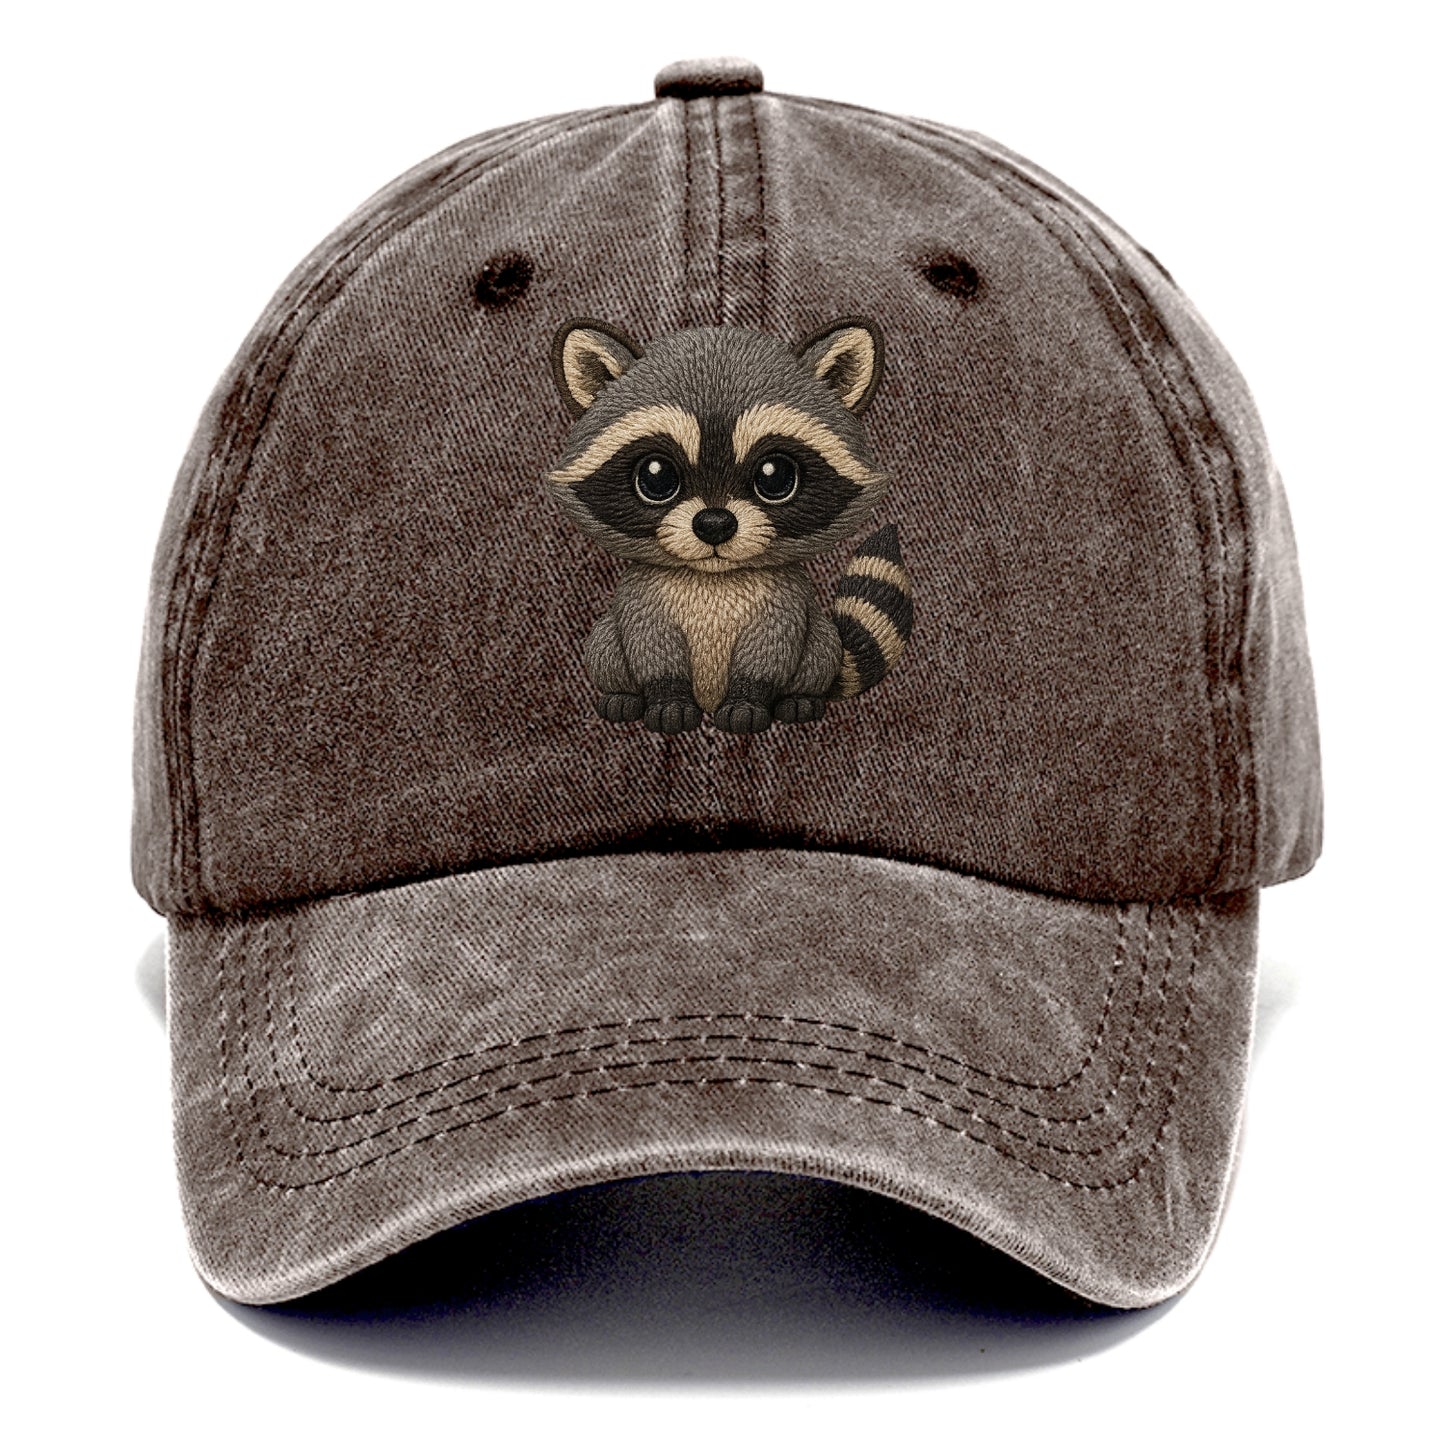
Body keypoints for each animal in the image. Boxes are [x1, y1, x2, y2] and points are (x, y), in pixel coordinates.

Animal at [545, 317, 913, 735]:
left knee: (819, 647)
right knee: (605, 643)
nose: (715, 523)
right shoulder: (643, 599)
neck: (714, 579)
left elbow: (769, 651)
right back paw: (622, 695)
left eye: (775, 475)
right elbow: (652, 647)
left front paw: (749, 699)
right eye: (656, 476)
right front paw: (667, 697)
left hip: (819, 643)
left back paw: (799, 698)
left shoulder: (781, 602)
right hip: (609, 640)